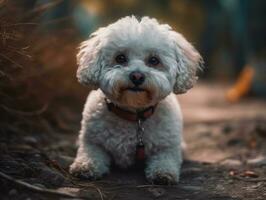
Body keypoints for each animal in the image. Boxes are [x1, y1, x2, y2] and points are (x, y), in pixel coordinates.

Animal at [69, 15, 203, 184]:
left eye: (154, 60)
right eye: (120, 58)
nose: (137, 76)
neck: (134, 115)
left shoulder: (168, 146)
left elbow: (165, 159)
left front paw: (163, 173)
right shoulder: (92, 140)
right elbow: (90, 153)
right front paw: (85, 166)